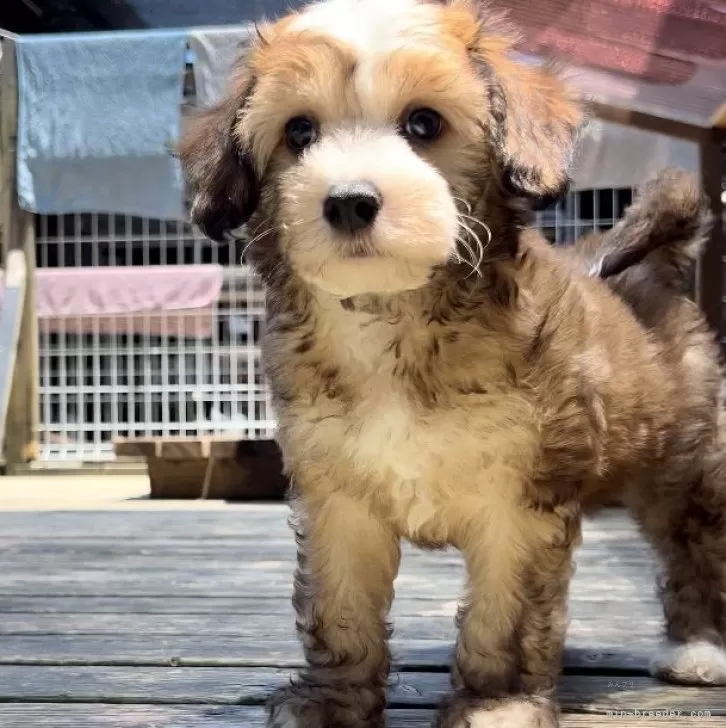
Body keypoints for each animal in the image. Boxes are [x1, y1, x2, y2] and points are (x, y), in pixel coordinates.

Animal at [179, 2, 726, 724]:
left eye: (423, 123)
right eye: (299, 131)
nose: (349, 200)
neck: (394, 315)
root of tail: (651, 272)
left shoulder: (518, 502)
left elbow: (505, 614)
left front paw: (500, 703)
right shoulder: (337, 498)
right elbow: (340, 606)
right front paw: (331, 700)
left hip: (683, 460)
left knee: (695, 541)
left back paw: (699, 648)